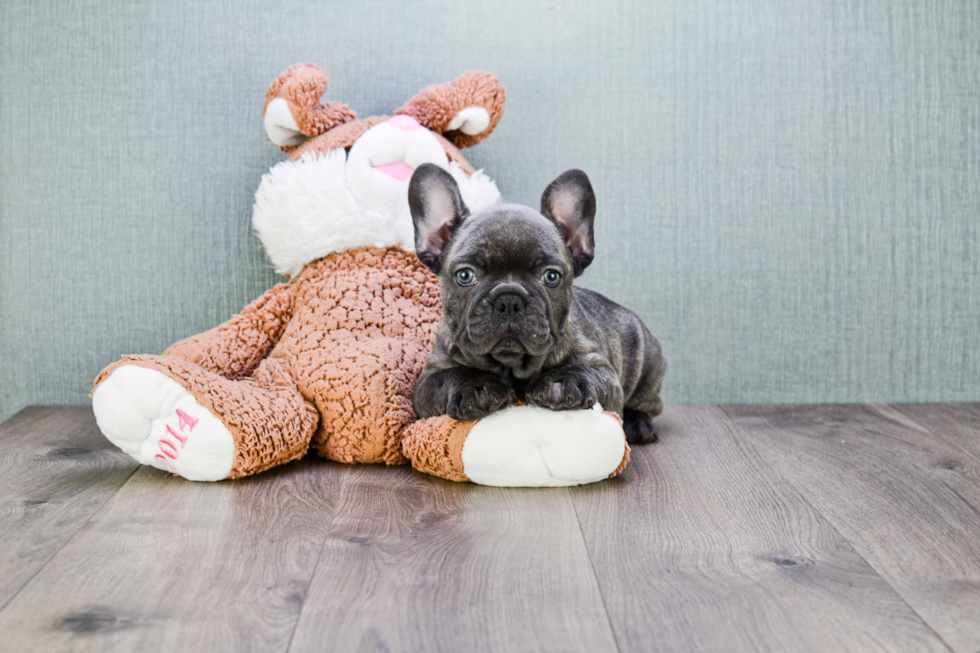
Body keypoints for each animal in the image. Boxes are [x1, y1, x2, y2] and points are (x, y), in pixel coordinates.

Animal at [406, 163, 668, 444]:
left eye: (551, 277)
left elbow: (590, 373)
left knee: (648, 404)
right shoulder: (429, 378)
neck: (512, 365)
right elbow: (449, 376)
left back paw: (638, 423)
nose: (509, 299)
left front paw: (562, 382)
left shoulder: (602, 369)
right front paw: (476, 386)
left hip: (647, 364)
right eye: (465, 275)